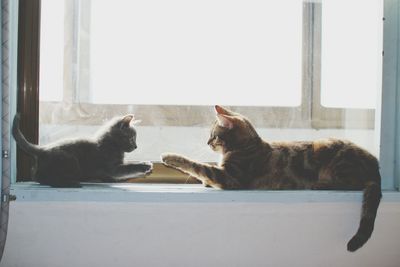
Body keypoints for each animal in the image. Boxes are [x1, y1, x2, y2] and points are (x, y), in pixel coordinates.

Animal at [13, 113, 152, 188]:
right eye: (131, 138)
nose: (136, 146)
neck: (112, 144)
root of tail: (42, 149)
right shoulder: (112, 168)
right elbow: (129, 168)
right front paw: (144, 166)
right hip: (71, 161)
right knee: (47, 179)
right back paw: (70, 183)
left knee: (37, 177)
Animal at [162, 105, 382, 253]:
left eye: (214, 135)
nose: (208, 142)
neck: (248, 145)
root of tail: (375, 166)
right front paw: (205, 182)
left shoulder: (230, 177)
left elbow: (198, 166)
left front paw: (171, 157)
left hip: (329, 152)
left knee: (352, 183)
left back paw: (322, 184)